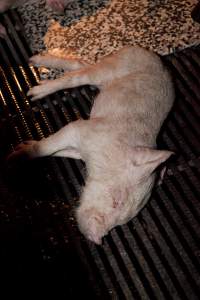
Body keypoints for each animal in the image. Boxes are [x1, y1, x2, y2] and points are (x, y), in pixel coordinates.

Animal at [7, 45, 174, 245]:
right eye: (116, 200)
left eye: (122, 220)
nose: (97, 240)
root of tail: (153, 56)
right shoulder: (80, 128)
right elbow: (46, 148)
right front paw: (13, 157)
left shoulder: (79, 150)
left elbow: (55, 151)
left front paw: (23, 146)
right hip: (111, 68)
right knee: (79, 75)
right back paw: (34, 90)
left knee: (81, 65)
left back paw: (34, 62)